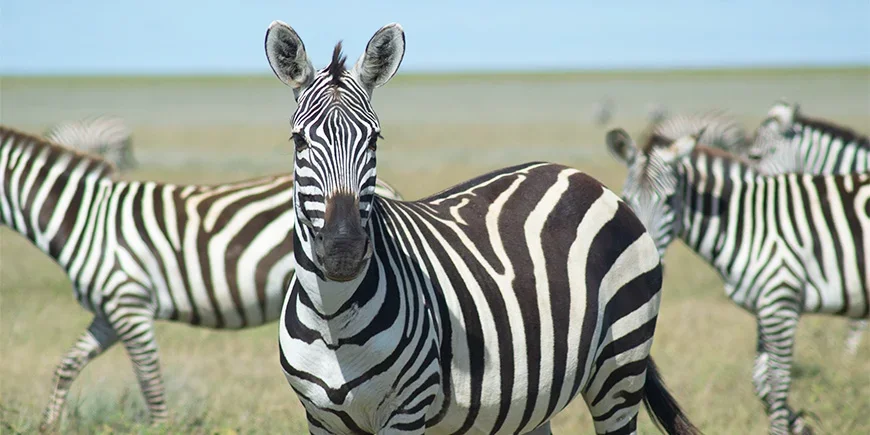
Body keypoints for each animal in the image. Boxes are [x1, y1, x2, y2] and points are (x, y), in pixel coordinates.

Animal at [0, 125, 403, 429]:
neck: (83, 217)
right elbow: (67, 365)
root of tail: (389, 189)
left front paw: (161, 428)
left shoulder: (128, 303)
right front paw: (48, 425)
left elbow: (149, 379)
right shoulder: (110, 309)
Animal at [267, 21, 698, 435]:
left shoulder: (407, 411)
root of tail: (581, 176)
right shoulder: (320, 418)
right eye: (299, 141)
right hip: (535, 398)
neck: (333, 318)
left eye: (374, 140)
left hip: (621, 365)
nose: (344, 251)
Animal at [605, 127, 869, 435]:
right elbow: (761, 381)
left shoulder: (780, 299)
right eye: (627, 198)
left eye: (670, 200)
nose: (644, 260)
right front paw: (801, 425)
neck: (746, 221)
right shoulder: (765, 305)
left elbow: (777, 382)